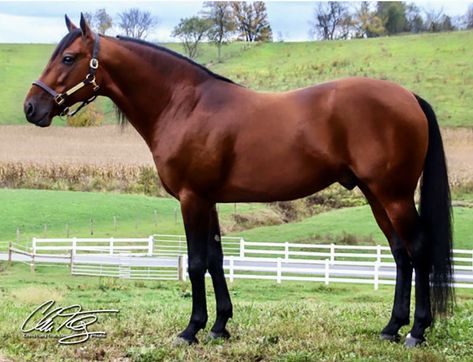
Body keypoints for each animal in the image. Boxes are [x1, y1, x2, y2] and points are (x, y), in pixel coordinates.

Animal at [24, 14, 452, 348]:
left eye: (68, 57)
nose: (31, 108)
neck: (184, 104)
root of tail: (409, 97)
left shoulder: (191, 198)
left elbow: (196, 262)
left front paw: (191, 330)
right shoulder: (209, 199)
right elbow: (216, 259)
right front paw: (220, 326)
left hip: (393, 195)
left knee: (418, 249)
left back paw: (416, 332)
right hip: (375, 195)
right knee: (400, 253)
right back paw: (391, 328)